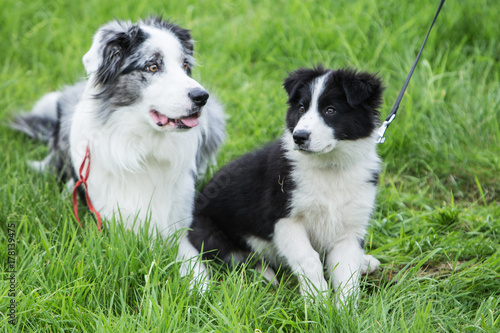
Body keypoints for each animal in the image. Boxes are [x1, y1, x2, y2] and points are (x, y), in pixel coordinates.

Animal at [11, 16, 225, 260]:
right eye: (152, 66)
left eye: (185, 66)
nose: (201, 97)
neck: (145, 146)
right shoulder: (114, 224)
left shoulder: (179, 229)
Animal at [188, 65, 382, 304]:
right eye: (301, 108)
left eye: (330, 110)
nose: (299, 137)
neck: (330, 167)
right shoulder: (284, 219)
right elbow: (309, 259)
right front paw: (317, 301)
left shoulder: (350, 228)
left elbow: (346, 271)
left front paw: (344, 309)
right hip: (210, 234)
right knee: (239, 260)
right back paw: (265, 276)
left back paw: (364, 261)